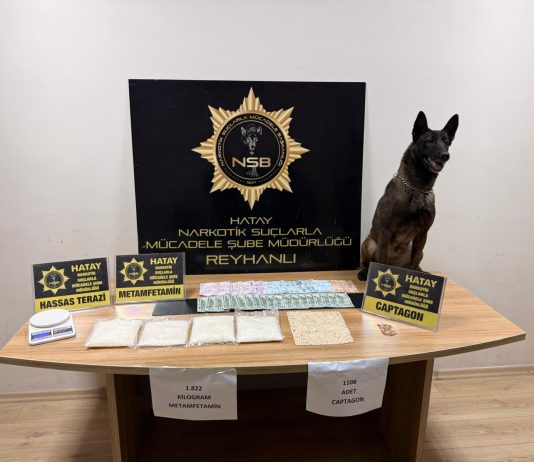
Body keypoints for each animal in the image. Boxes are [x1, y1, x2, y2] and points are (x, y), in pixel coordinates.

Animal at [357, 111, 459, 281]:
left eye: (446, 141)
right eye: (429, 141)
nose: (445, 155)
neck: (417, 188)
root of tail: (395, 265)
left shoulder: (423, 234)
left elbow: (415, 260)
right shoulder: (386, 231)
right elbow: (381, 261)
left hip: (416, 249)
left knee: (415, 263)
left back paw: (422, 272)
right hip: (369, 243)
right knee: (369, 262)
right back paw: (365, 273)